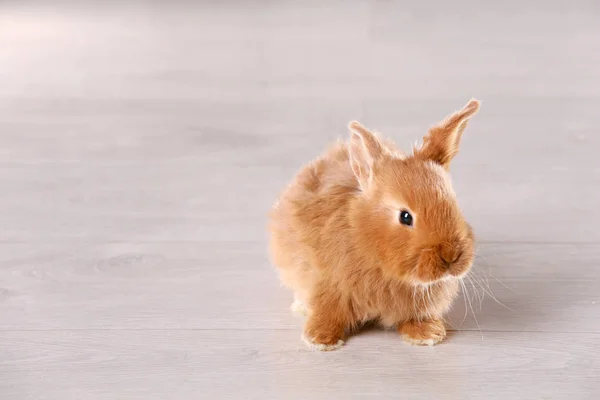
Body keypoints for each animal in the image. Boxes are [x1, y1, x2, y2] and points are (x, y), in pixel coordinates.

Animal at [270, 99, 480, 350]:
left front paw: (426, 335)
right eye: (405, 217)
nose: (451, 256)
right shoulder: (328, 286)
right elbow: (327, 312)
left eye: (453, 203)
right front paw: (321, 340)